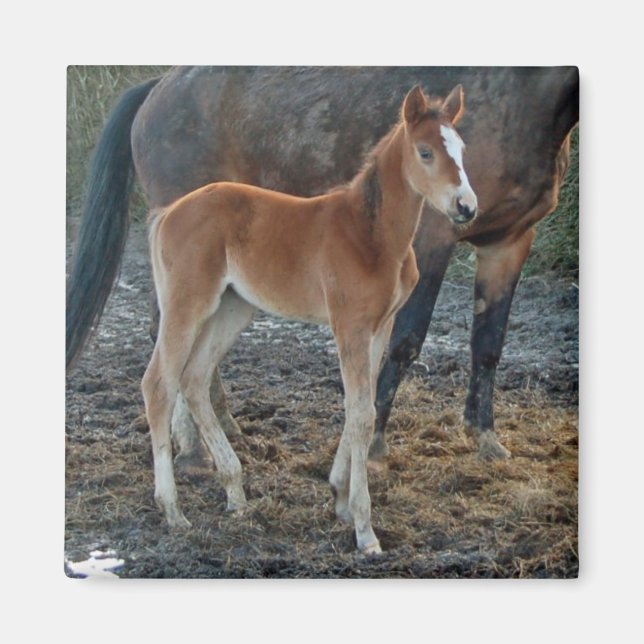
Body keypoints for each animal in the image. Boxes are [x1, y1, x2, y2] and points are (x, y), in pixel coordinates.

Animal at [66, 66, 578, 466]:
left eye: (464, 150)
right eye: (426, 153)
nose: (466, 204)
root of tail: (158, 87)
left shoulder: (508, 244)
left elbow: (488, 344)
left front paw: (485, 436)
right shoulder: (436, 239)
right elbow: (406, 343)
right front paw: (373, 443)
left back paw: (224, 426)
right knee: (171, 337)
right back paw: (191, 446)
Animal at [142, 85, 476, 554]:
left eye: (461, 149)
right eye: (425, 152)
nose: (466, 207)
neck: (371, 234)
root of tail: (169, 212)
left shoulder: (380, 327)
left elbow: (362, 406)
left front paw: (338, 496)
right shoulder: (349, 326)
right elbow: (360, 414)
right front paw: (364, 529)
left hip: (231, 308)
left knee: (193, 379)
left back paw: (236, 493)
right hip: (188, 303)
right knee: (159, 384)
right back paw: (173, 511)